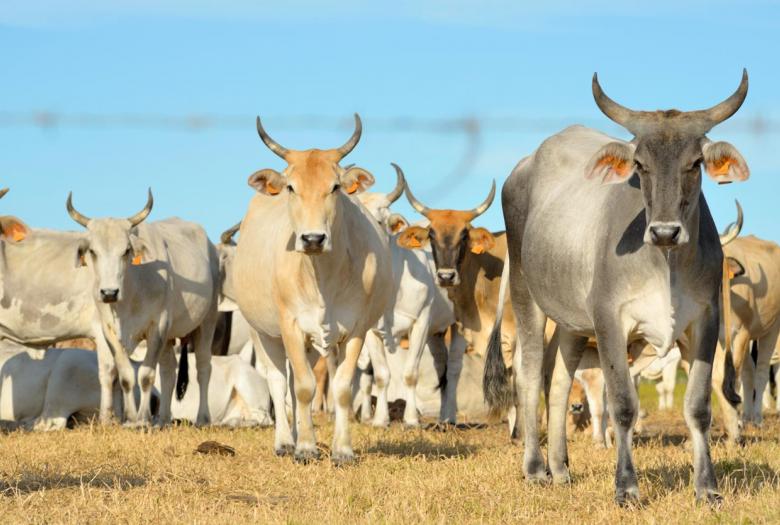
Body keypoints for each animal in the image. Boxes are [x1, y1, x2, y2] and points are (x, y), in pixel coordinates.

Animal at [230, 114, 390, 462]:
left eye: (335, 187)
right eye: (291, 187)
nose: (313, 239)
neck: (322, 278)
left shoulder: (356, 329)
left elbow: (341, 388)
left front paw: (342, 449)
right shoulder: (289, 325)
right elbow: (303, 387)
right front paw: (304, 447)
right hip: (262, 332)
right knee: (279, 381)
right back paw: (285, 441)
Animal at [488, 71, 748, 502]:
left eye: (695, 162)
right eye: (640, 164)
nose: (664, 231)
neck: (665, 265)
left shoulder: (706, 321)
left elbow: (698, 406)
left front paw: (707, 488)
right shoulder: (610, 320)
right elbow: (623, 404)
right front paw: (626, 487)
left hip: (572, 320)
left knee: (558, 380)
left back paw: (560, 468)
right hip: (528, 295)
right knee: (529, 373)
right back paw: (535, 468)